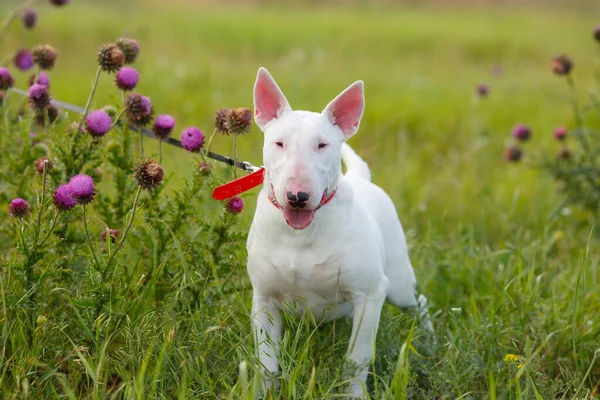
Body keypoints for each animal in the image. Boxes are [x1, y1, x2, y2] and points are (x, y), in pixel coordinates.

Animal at [246, 66, 434, 396]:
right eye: (279, 143)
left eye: (322, 145)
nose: (297, 196)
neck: (300, 233)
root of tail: (362, 179)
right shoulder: (264, 300)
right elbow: (267, 363)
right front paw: (265, 393)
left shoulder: (369, 294)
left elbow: (356, 360)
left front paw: (354, 395)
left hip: (398, 282)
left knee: (418, 301)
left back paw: (431, 339)